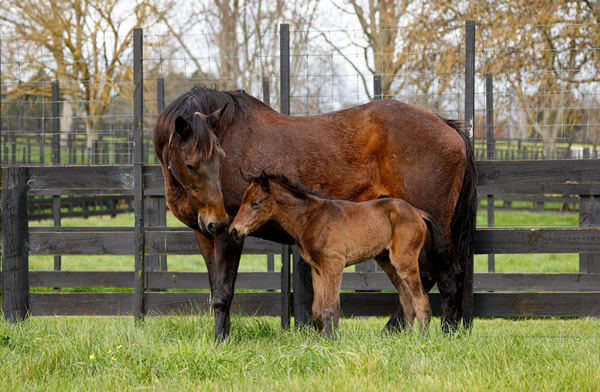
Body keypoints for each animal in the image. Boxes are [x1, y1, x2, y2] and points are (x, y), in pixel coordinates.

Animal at [227, 173, 442, 338]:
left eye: (256, 203)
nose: (234, 231)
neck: (310, 218)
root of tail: (418, 212)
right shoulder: (317, 268)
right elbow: (317, 309)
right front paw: (322, 341)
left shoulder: (333, 264)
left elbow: (330, 307)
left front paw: (331, 341)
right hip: (387, 261)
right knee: (406, 297)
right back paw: (406, 337)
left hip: (404, 260)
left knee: (421, 299)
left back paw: (421, 340)